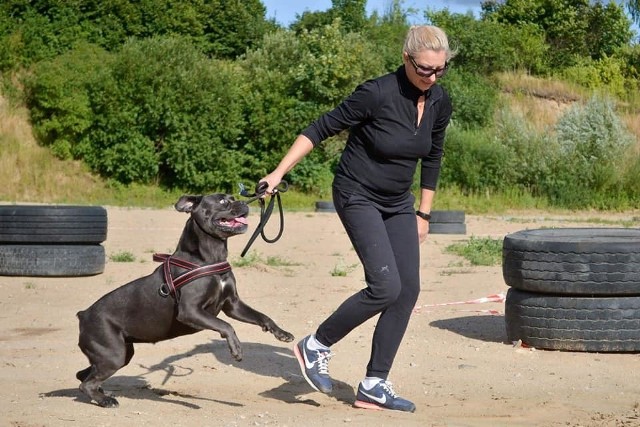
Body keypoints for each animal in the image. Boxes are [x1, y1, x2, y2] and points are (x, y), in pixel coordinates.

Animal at [76, 194, 294, 408]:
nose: (244, 203)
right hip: (113, 354)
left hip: (119, 353)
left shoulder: (233, 305)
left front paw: (282, 334)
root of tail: (83, 315)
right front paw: (236, 348)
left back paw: (102, 393)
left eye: (233, 198)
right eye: (223, 201)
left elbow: (262, 316)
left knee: (83, 375)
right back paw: (105, 400)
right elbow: (226, 325)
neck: (209, 258)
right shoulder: (190, 311)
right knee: (85, 383)